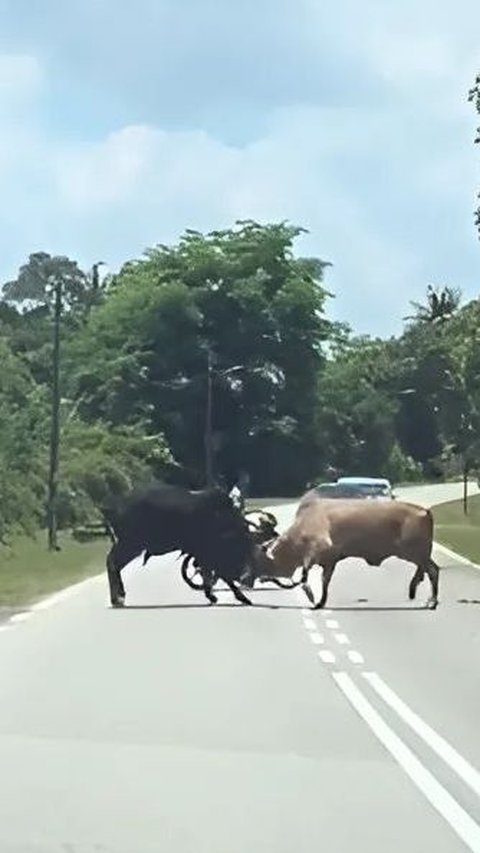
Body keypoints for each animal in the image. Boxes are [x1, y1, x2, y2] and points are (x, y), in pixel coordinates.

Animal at [103, 486, 256, 604]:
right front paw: (241, 598)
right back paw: (118, 599)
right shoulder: (207, 553)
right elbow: (220, 575)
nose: (247, 580)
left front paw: (213, 596)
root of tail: (113, 510)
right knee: (112, 562)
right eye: (243, 548)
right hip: (130, 544)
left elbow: (209, 574)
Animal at [255, 496, 438, 608]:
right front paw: (320, 602)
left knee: (433, 571)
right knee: (430, 570)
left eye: (266, 559)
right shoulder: (330, 561)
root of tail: (425, 511)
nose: (259, 577)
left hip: (414, 553)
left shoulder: (318, 549)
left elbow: (306, 574)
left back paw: (432, 602)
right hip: (420, 556)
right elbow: (324, 581)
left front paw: (311, 595)